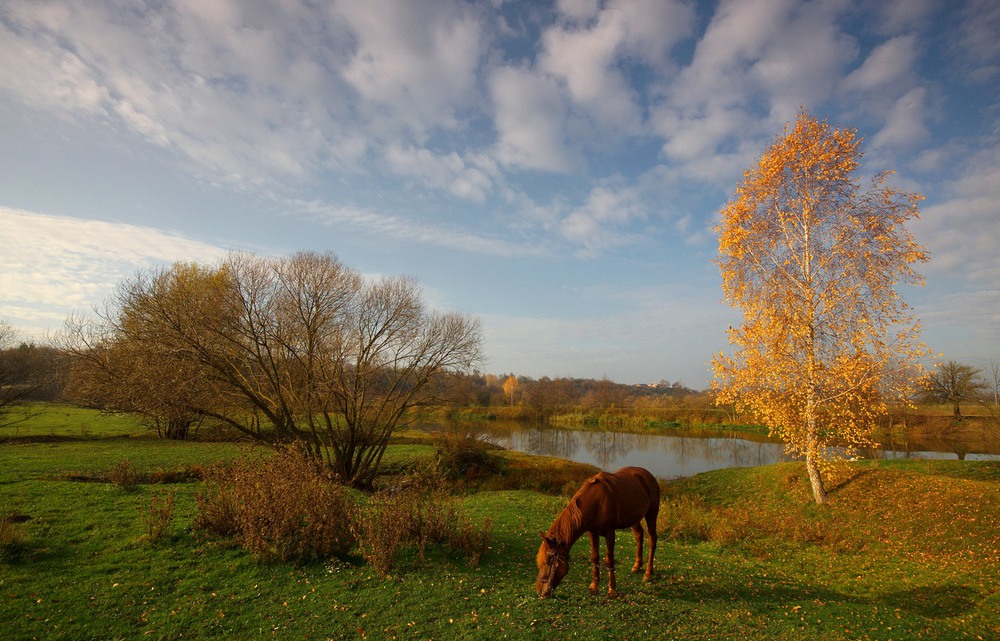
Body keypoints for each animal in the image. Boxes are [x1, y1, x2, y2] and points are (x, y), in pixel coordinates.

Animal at [536, 464, 660, 596]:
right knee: (639, 535)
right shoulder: (592, 533)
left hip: (651, 514)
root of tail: (648, 475)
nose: (539, 591)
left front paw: (612, 590)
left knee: (652, 539)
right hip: (634, 519)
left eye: (547, 562)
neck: (597, 503)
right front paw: (594, 586)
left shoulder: (610, 533)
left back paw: (648, 573)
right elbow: (595, 558)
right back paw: (636, 566)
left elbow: (609, 560)